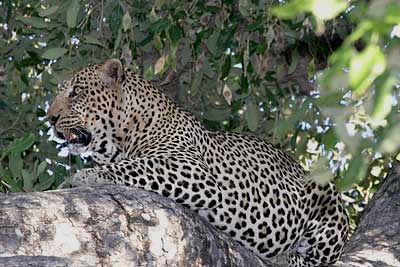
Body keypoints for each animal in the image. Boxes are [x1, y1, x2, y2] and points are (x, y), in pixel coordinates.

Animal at [46, 59, 346, 267]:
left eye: (76, 92)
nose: (50, 118)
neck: (121, 138)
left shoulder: (191, 168)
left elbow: (136, 166)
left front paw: (86, 175)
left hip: (326, 195)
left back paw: (285, 256)